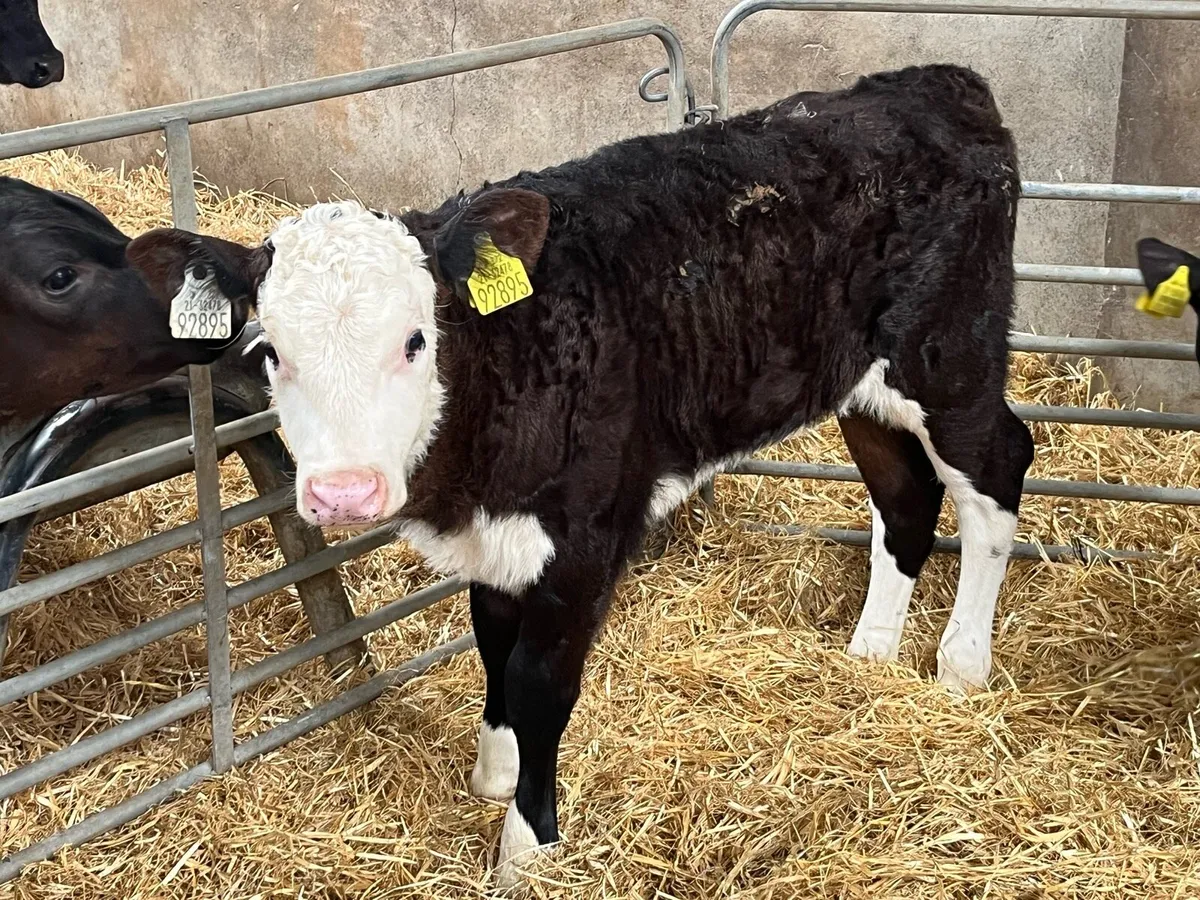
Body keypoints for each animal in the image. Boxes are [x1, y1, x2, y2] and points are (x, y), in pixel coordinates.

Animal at [125, 64, 1034, 887]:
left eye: (417, 339)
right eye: (269, 351)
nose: (342, 492)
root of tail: (932, 81)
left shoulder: (587, 536)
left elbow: (539, 680)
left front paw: (527, 844)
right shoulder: (497, 534)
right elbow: (493, 643)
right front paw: (494, 774)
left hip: (949, 355)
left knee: (997, 472)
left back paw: (961, 666)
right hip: (860, 384)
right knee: (906, 497)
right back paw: (872, 651)